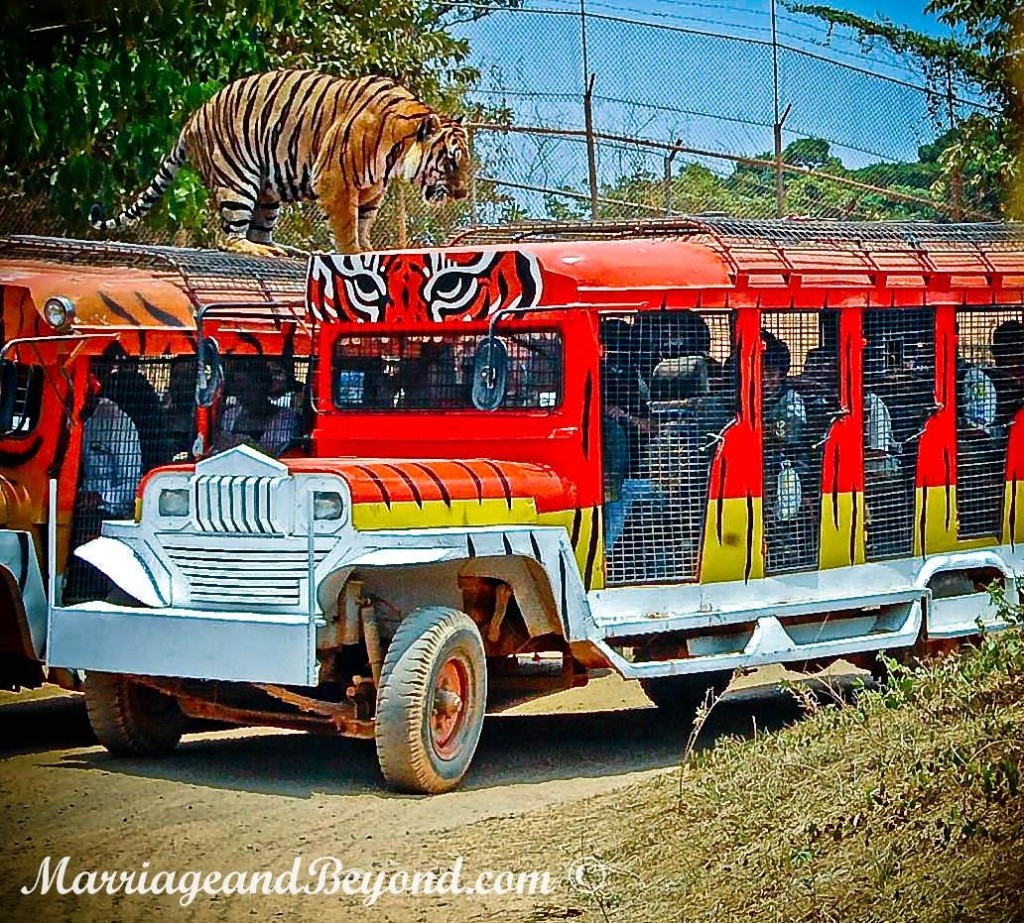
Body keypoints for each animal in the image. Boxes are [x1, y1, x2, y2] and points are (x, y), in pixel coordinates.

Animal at [89, 70, 470, 257]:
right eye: (451, 161)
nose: (464, 194)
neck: (396, 153)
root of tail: (191, 119)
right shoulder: (336, 179)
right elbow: (347, 226)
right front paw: (351, 253)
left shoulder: (372, 190)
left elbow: (363, 223)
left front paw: (367, 249)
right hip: (236, 181)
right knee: (228, 237)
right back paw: (261, 251)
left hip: (268, 195)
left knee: (258, 230)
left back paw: (281, 249)